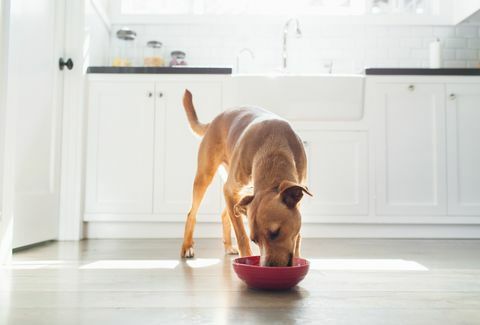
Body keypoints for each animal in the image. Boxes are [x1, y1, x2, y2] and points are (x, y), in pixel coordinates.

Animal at [180, 89, 312, 266]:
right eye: (255, 240)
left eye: (275, 233)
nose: (267, 268)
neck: (273, 148)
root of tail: (214, 120)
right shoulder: (230, 191)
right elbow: (242, 236)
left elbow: (297, 236)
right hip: (205, 176)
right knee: (192, 214)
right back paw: (187, 247)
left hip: (239, 194)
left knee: (225, 215)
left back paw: (228, 246)